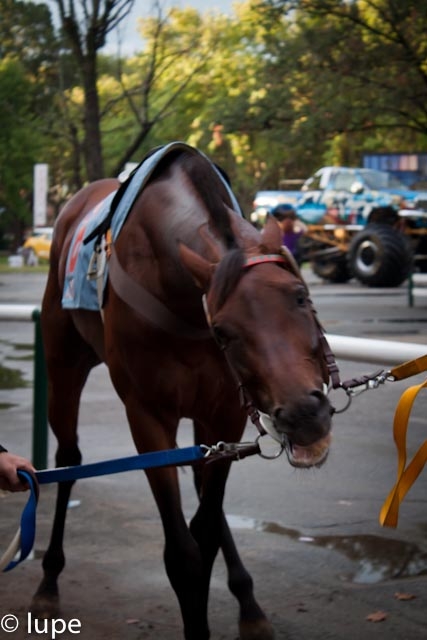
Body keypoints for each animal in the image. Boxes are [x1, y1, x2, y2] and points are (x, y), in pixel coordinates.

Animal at [32, 146, 334, 640]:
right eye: (223, 330)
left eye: (301, 297)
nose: (304, 415)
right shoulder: (148, 415)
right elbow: (182, 553)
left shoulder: (226, 410)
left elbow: (205, 533)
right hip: (63, 364)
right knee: (68, 459)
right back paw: (48, 581)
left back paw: (248, 603)